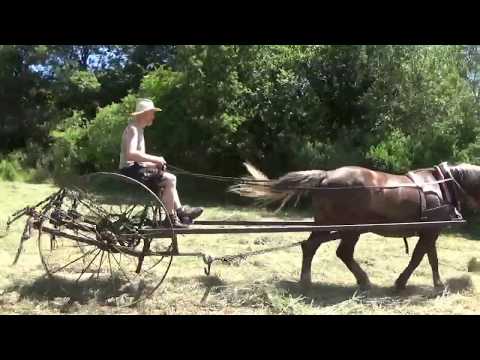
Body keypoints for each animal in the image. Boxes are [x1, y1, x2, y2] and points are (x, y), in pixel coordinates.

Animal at [230, 163, 480, 292]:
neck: (444, 184)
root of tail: (326, 175)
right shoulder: (430, 232)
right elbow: (421, 258)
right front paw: (406, 283)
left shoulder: (430, 232)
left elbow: (429, 258)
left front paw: (435, 284)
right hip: (352, 228)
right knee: (342, 252)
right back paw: (363, 280)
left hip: (329, 224)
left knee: (310, 246)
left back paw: (306, 280)